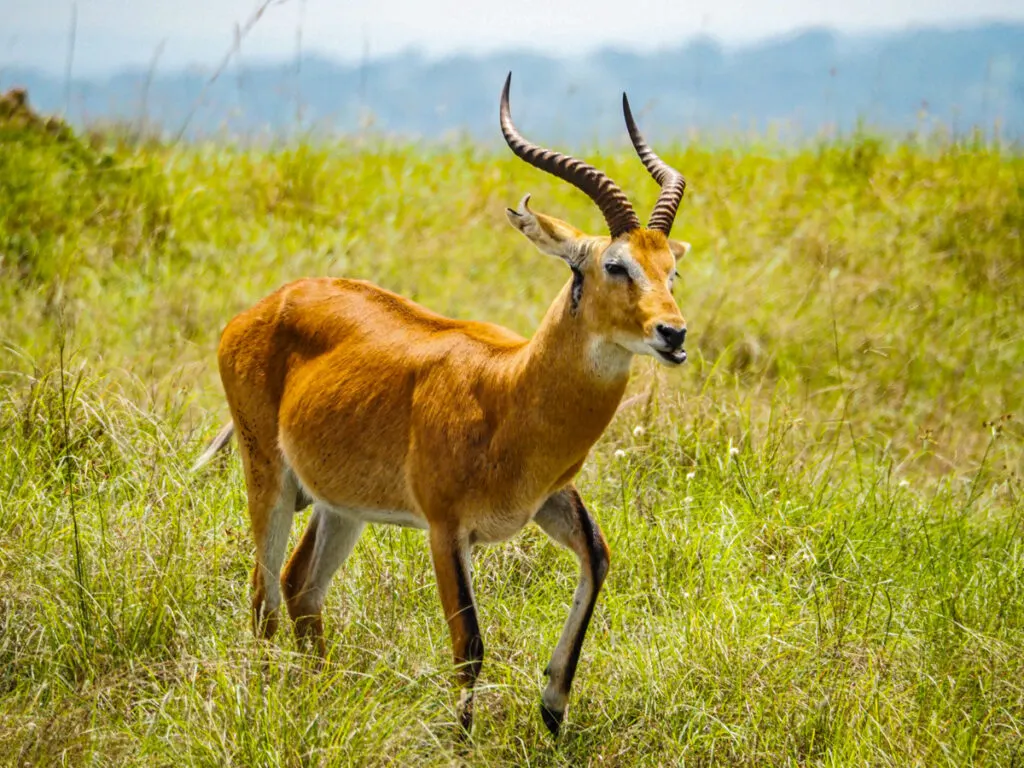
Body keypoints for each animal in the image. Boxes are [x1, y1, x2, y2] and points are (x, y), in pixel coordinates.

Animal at [198, 73, 692, 741]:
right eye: (615, 264)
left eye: (671, 270)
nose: (673, 334)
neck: (508, 390)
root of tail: (264, 305)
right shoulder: (444, 528)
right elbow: (470, 643)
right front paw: (461, 738)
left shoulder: (548, 500)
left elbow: (598, 558)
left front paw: (552, 709)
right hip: (266, 476)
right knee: (262, 595)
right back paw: (270, 697)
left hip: (340, 506)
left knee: (299, 588)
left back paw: (319, 696)